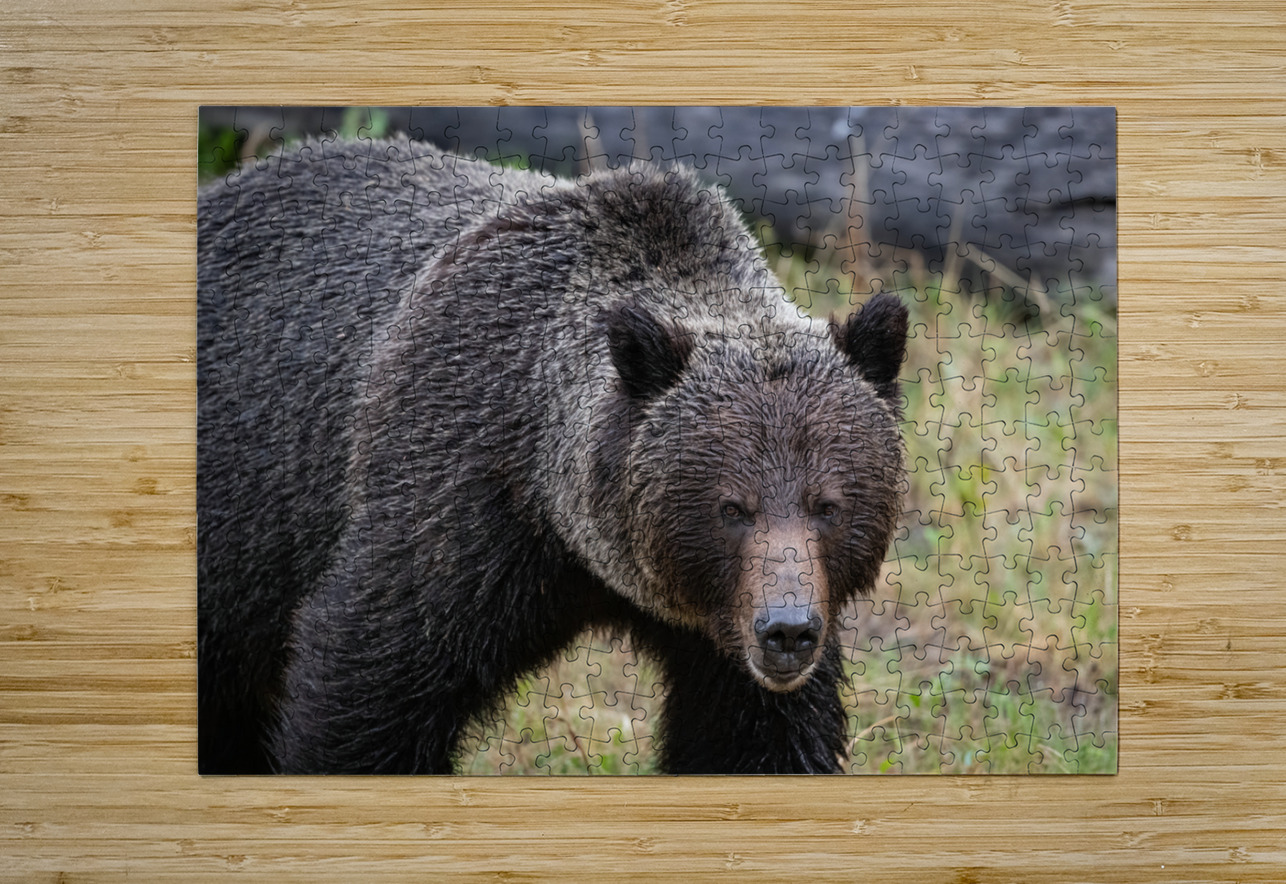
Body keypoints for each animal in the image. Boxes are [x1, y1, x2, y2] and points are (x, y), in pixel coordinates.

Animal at [197, 135, 908, 775]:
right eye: (732, 507)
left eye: (827, 504)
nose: (786, 631)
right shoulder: (455, 504)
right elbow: (368, 684)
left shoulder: (729, 631)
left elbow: (758, 736)